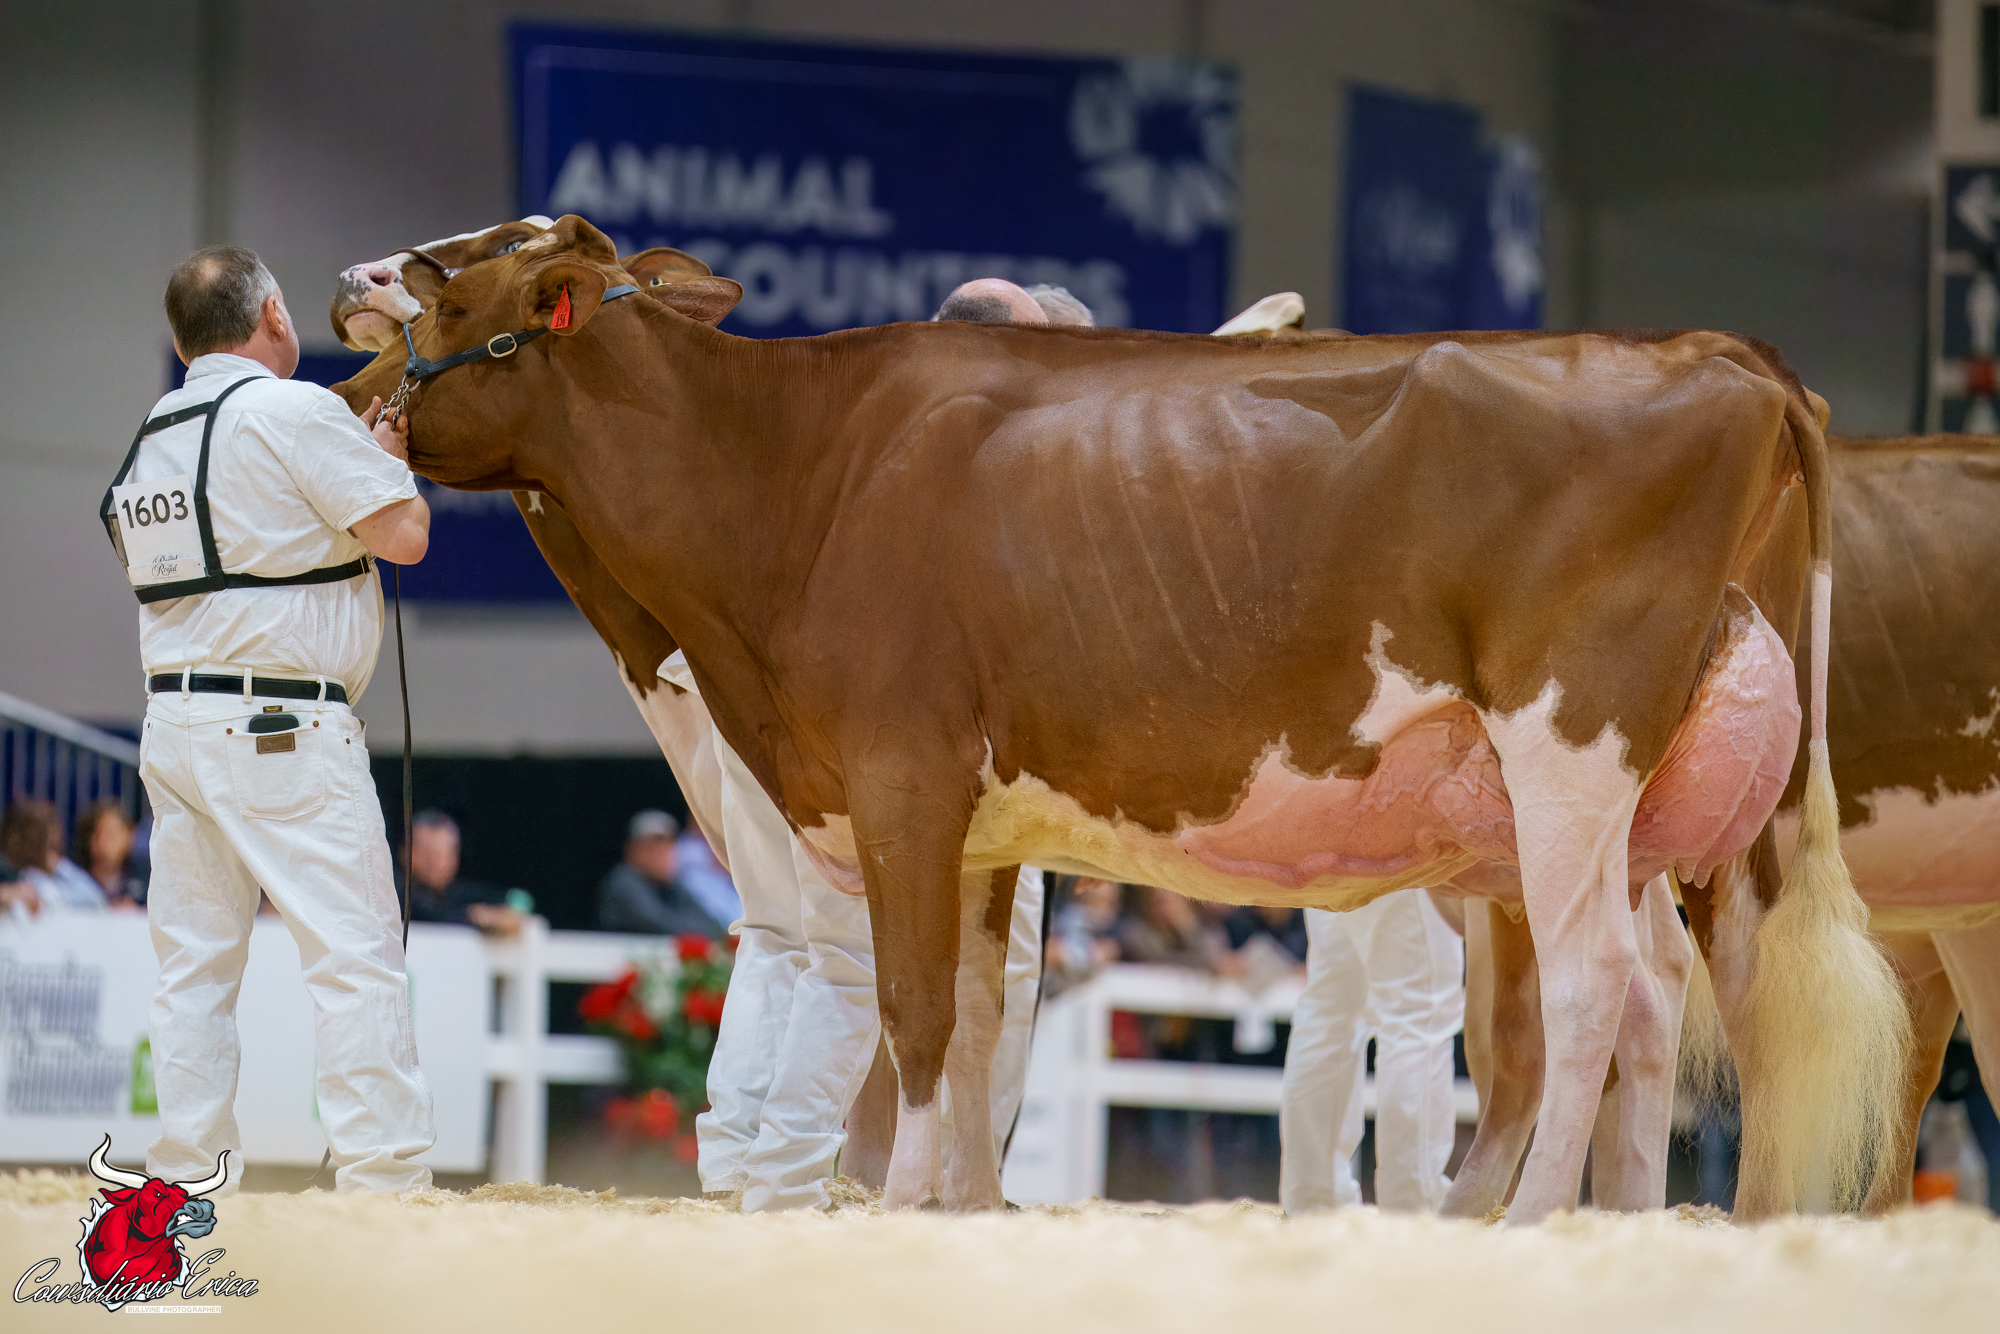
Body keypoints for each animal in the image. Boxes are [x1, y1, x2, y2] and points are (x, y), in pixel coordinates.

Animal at [333, 214, 1904, 1223]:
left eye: (450, 287)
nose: (348, 323)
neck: (788, 475)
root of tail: (1716, 353)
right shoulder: (971, 823)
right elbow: (978, 1020)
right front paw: (964, 1209)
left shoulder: (901, 775)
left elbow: (913, 1015)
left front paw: (896, 1202)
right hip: (1671, 808)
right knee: (1686, 1012)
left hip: (1570, 750)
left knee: (1594, 997)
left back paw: (1523, 1229)